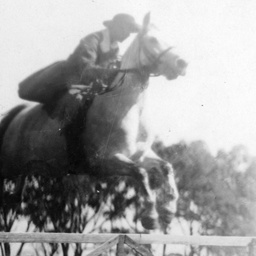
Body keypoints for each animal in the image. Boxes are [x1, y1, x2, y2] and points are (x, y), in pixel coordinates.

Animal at [0, 13, 188, 230]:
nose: (183, 64)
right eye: (153, 40)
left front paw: (168, 211)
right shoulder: (105, 160)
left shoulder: (139, 154)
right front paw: (151, 217)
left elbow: (165, 167)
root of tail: (16, 116)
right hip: (7, 166)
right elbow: (140, 173)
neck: (129, 106)